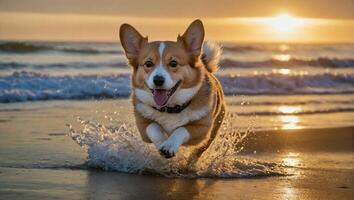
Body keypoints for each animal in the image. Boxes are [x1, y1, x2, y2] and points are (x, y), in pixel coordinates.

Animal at [119, 19, 224, 159]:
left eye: (173, 63)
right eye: (148, 63)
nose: (158, 80)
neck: (169, 109)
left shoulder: (201, 128)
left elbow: (181, 129)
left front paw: (169, 145)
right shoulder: (143, 125)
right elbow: (154, 128)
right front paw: (162, 143)